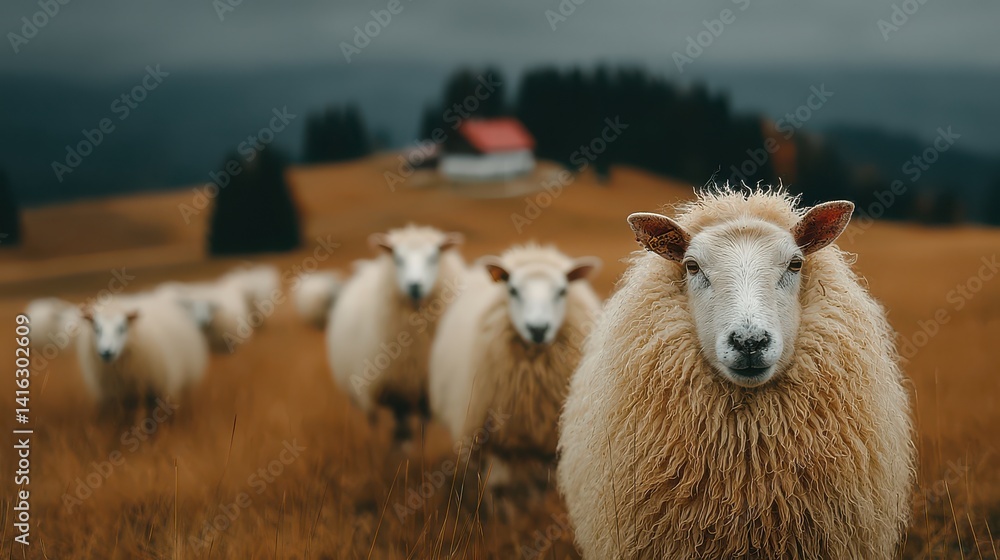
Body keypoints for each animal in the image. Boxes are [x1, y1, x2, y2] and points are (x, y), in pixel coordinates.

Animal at [76, 292, 208, 420]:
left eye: (122, 328)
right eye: (96, 328)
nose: (106, 352)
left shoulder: (150, 385)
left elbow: (148, 411)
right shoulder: (121, 391)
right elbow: (126, 412)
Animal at [327, 225, 464, 444]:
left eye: (434, 257)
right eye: (397, 259)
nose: (414, 285)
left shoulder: (425, 394)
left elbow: (422, 430)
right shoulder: (384, 392)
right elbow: (391, 429)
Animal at [428, 244, 601, 501]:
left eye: (562, 291)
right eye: (512, 290)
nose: (538, 329)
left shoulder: (550, 445)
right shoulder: (495, 443)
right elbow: (499, 489)